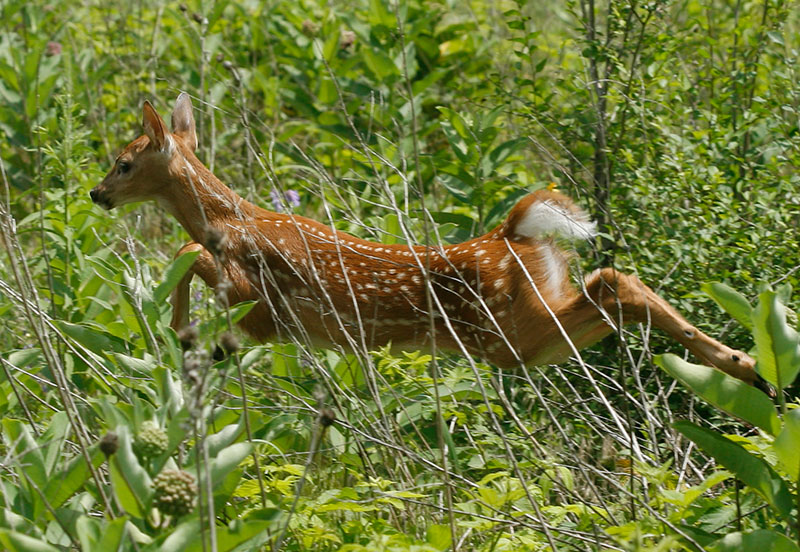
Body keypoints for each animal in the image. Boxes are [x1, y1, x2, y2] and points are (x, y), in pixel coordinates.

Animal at [90, 94, 764, 388]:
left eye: (124, 162)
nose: (96, 194)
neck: (229, 218)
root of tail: (510, 233)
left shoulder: (259, 298)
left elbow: (189, 253)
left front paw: (182, 330)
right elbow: (187, 254)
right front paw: (187, 336)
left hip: (504, 333)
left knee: (613, 284)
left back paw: (746, 366)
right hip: (522, 324)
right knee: (614, 281)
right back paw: (747, 367)